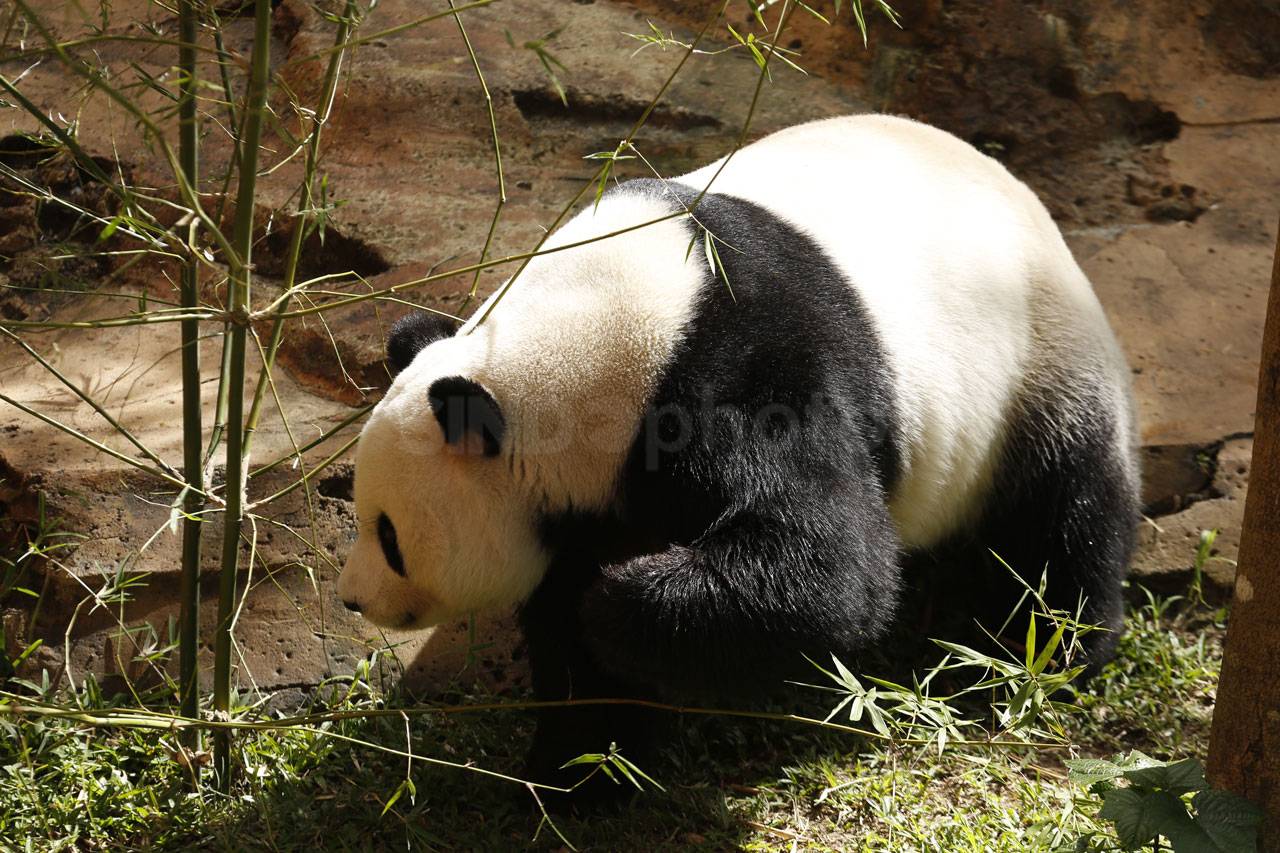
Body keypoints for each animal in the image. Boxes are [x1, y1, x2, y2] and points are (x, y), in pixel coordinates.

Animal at [336, 114, 1139, 791]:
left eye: (390, 535)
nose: (353, 597)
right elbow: (567, 623)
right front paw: (584, 766)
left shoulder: (749, 373)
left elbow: (830, 567)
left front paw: (621, 602)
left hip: (1038, 364)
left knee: (1063, 514)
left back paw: (1039, 654)